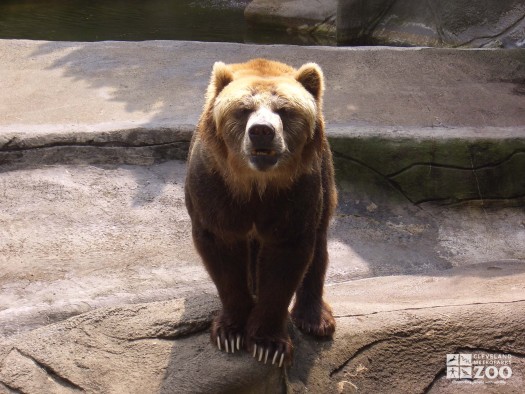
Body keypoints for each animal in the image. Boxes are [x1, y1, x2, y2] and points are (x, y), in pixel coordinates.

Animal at [186, 57, 338, 366]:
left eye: (285, 110)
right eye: (243, 109)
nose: (262, 131)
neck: (256, 185)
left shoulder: (294, 196)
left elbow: (285, 260)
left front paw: (268, 344)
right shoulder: (214, 190)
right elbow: (222, 254)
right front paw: (231, 332)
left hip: (325, 175)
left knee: (319, 241)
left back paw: (315, 318)